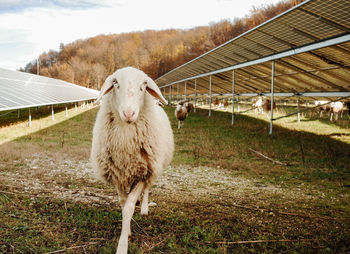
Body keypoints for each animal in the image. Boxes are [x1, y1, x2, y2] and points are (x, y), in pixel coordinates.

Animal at [89, 67, 174, 254]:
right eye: (115, 83)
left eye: (144, 85)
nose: (129, 113)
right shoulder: (116, 174)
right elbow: (123, 204)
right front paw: (126, 230)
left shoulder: (144, 173)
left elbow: (128, 207)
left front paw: (122, 246)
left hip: (151, 168)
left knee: (147, 190)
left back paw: (144, 208)